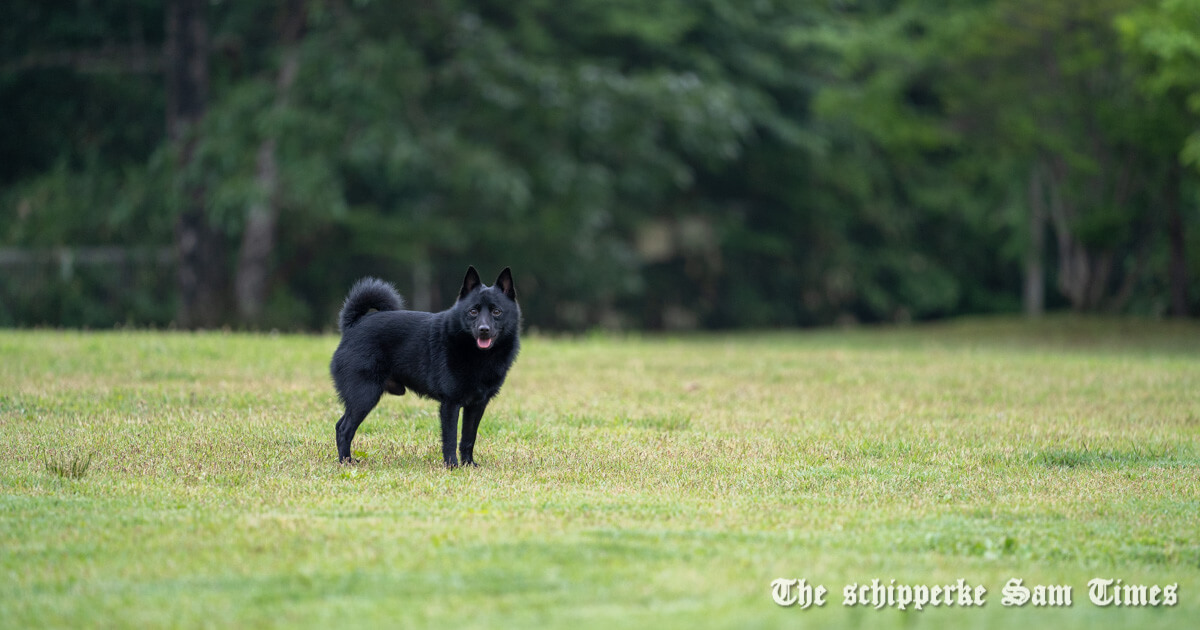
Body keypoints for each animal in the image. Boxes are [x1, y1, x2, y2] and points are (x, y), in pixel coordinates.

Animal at [331, 265, 518, 465]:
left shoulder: (476, 405)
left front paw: (468, 464)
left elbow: (468, 438)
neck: (478, 355)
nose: (484, 330)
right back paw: (346, 461)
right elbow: (450, 438)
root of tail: (353, 325)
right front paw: (452, 465)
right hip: (364, 395)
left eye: (496, 312)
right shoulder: (450, 403)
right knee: (344, 429)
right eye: (473, 311)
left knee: (340, 425)